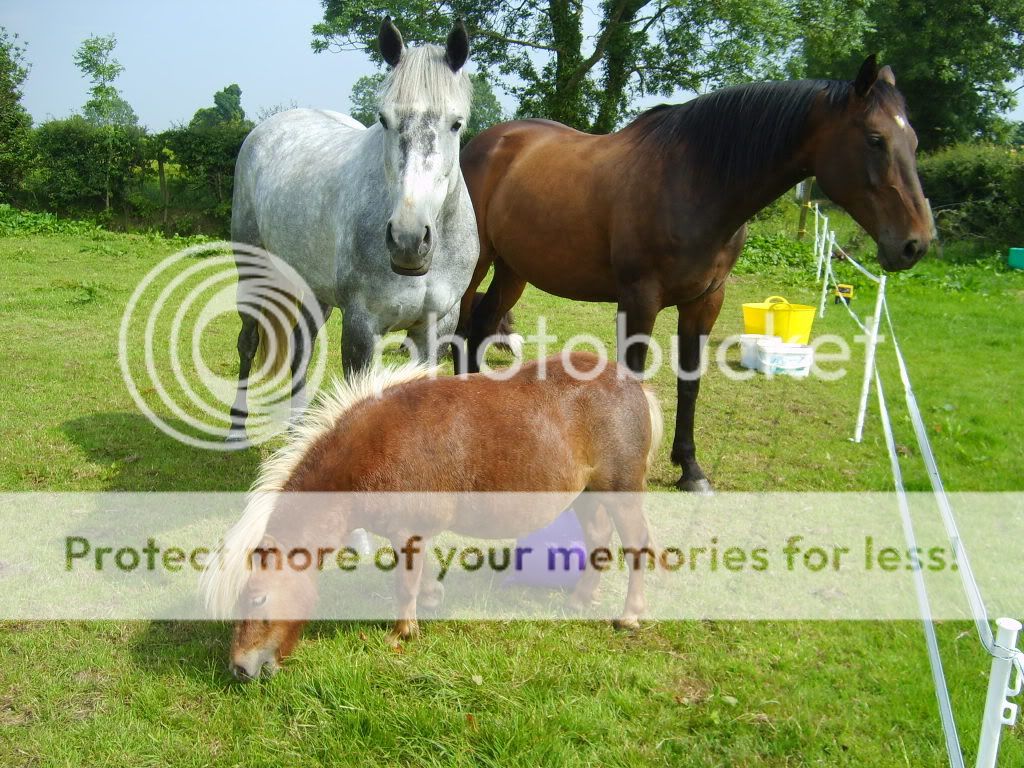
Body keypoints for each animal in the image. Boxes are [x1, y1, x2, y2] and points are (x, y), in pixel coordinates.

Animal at [203, 352, 662, 680]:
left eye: (257, 597)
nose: (240, 669)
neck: (376, 448)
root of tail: (633, 385)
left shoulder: (408, 534)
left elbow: (404, 585)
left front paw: (402, 632)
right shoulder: (412, 537)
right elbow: (419, 577)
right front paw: (430, 599)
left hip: (620, 495)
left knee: (637, 546)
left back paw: (630, 615)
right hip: (586, 497)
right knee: (599, 540)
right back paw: (581, 598)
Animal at [226, 18, 480, 441]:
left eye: (456, 123)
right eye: (384, 119)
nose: (408, 240)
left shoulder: (436, 327)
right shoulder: (362, 328)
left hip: (316, 291)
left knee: (301, 347)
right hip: (253, 272)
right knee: (248, 341)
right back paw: (236, 428)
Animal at [456, 56, 933, 492]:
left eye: (913, 139)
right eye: (875, 139)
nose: (916, 243)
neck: (696, 183)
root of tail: (485, 142)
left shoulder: (706, 300)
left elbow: (690, 382)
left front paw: (690, 468)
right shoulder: (639, 298)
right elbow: (633, 378)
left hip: (514, 271)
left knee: (484, 323)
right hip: (477, 264)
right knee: (463, 328)